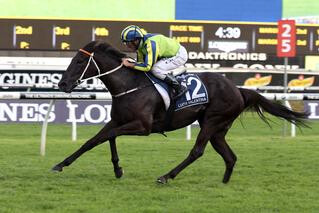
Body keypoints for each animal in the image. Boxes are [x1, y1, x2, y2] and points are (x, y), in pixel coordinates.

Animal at [53, 40, 310, 184]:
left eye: (78, 62)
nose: (62, 84)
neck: (129, 85)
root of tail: (237, 89)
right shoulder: (118, 120)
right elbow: (96, 140)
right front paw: (64, 164)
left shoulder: (142, 127)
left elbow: (106, 137)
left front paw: (117, 169)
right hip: (218, 129)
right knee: (229, 156)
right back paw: (224, 183)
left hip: (212, 121)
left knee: (197, 151)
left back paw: (166, 176)